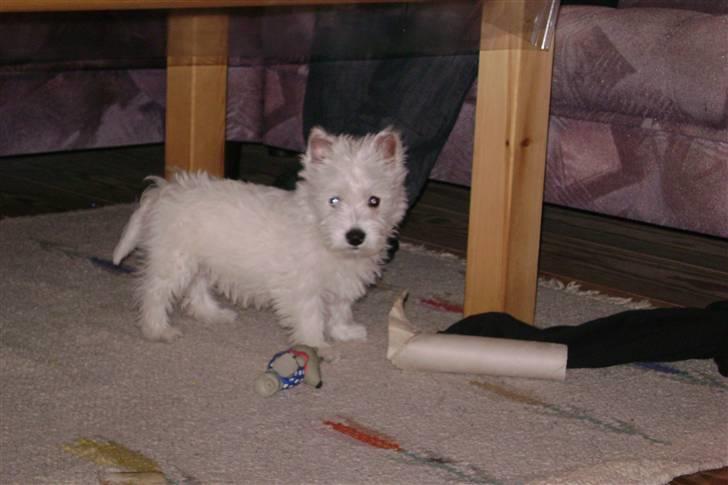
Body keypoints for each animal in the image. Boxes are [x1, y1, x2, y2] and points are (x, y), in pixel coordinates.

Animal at [114, 126, 410, 348]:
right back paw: (157, 330)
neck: (320, 233)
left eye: (374, 201)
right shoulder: (302, 288)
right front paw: (317, 347)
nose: (355, 236)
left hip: (197, 259)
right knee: (154, 293)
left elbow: (340, 308)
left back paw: (213, 313)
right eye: (333, 200)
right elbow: (311, 317)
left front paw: (344, 332)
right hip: (174, 259)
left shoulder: (342, 281)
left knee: (195, 288)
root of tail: (163, 190)